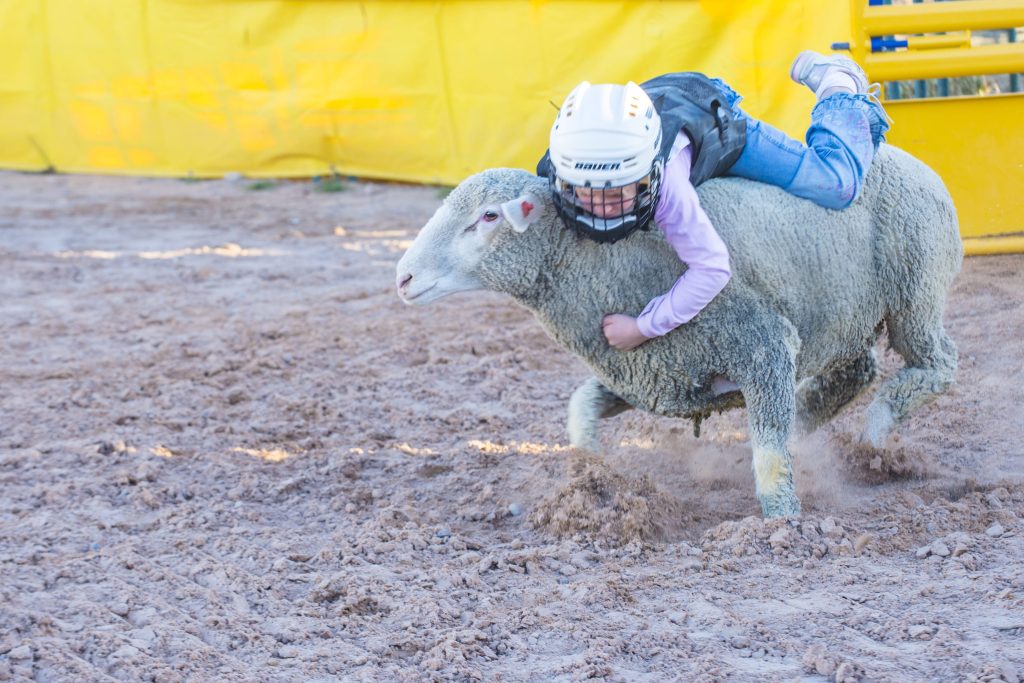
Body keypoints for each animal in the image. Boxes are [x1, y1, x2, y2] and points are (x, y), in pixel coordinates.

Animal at [393, 144, 958, 518]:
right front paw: (590, 473)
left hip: (914, 289)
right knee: (856, 372)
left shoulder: (762, 344)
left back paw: (878, 435)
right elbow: (580, 405)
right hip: (841, 313)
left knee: (937, 364)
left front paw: (782, 523)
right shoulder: (652, 370)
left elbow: (770, 455)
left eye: (488, 217)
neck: (601, 257)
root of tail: (916, 162)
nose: (403, 278)